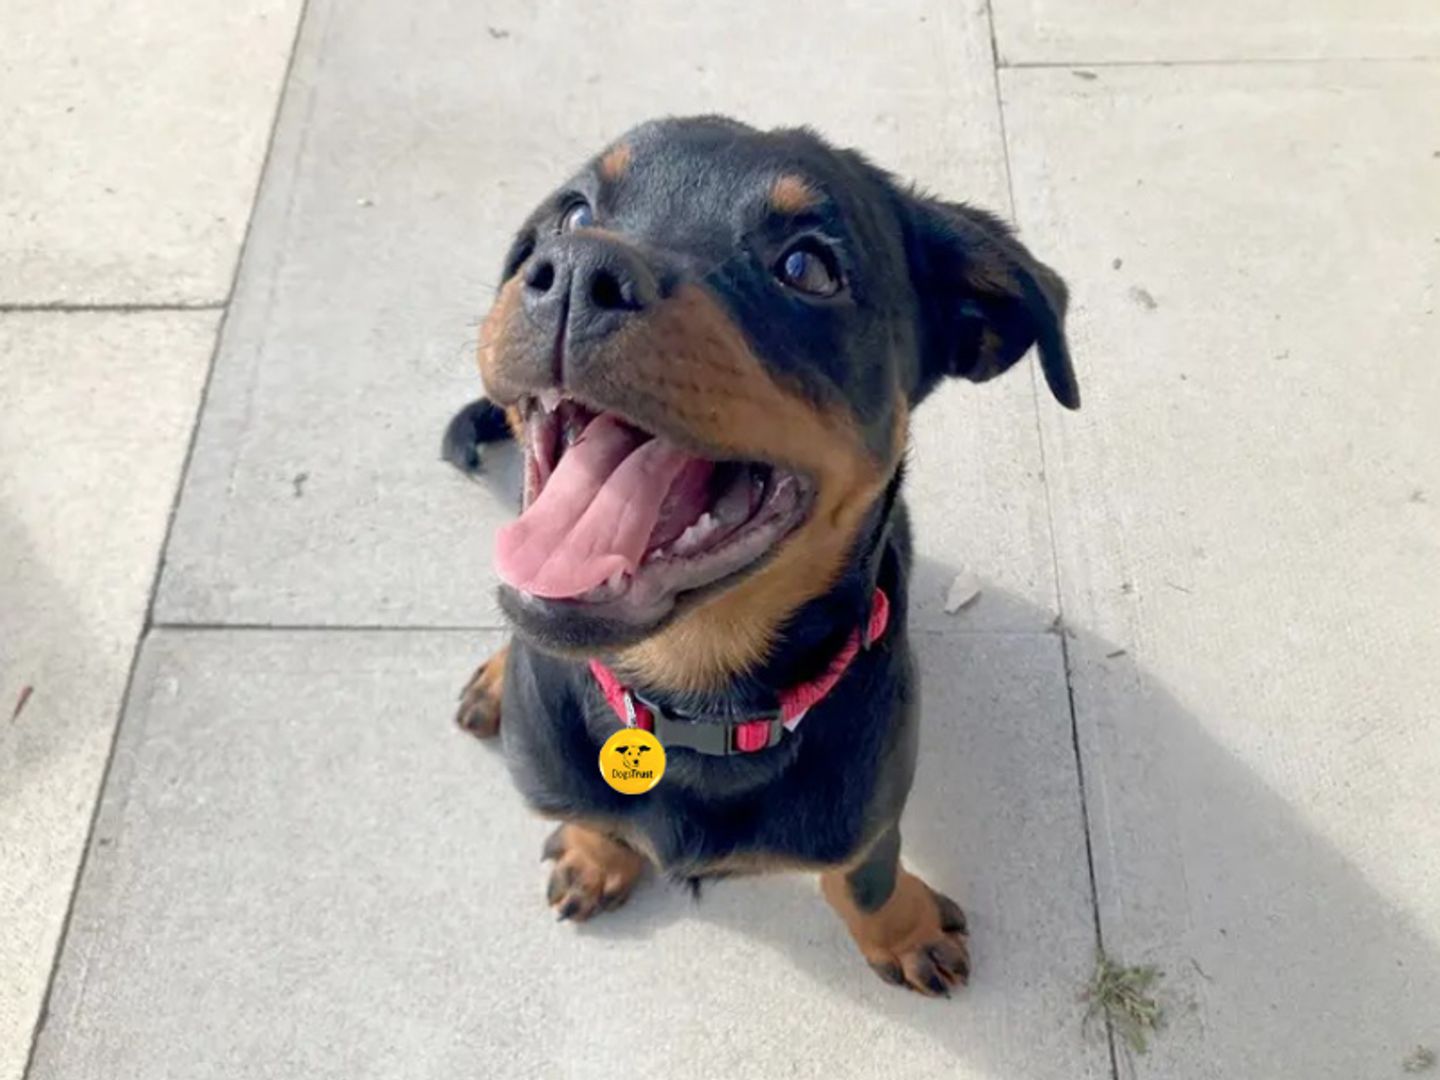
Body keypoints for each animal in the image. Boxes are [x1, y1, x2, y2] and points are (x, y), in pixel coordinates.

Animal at [443, 114, 1077, 1002]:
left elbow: (864, 875)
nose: (575, 270)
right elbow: (592, 817)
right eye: (575, 212)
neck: (691, 702)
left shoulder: (869, 803)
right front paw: (595, 853)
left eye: (808, 266)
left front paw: (903, 930)